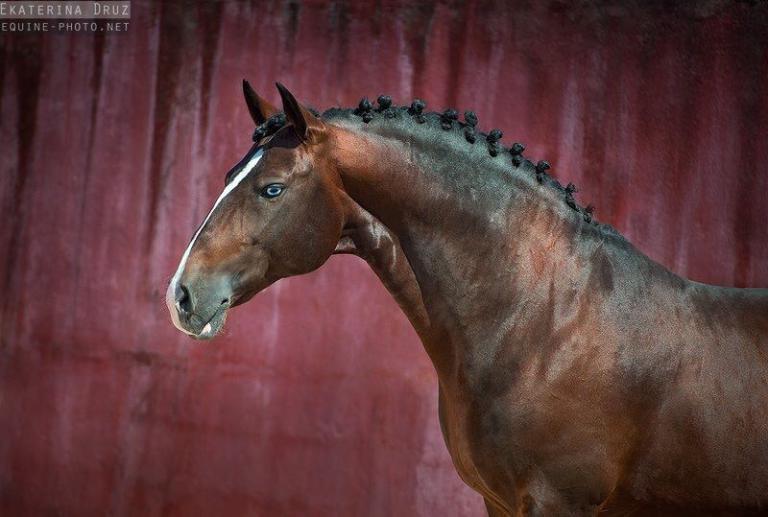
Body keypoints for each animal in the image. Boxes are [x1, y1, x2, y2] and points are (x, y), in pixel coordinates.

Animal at [166, 81, 768, 516]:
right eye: (228, 175)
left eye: (271, 188)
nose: (181, 296)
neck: (546, 324)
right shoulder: (498, 501)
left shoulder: (558, 503)